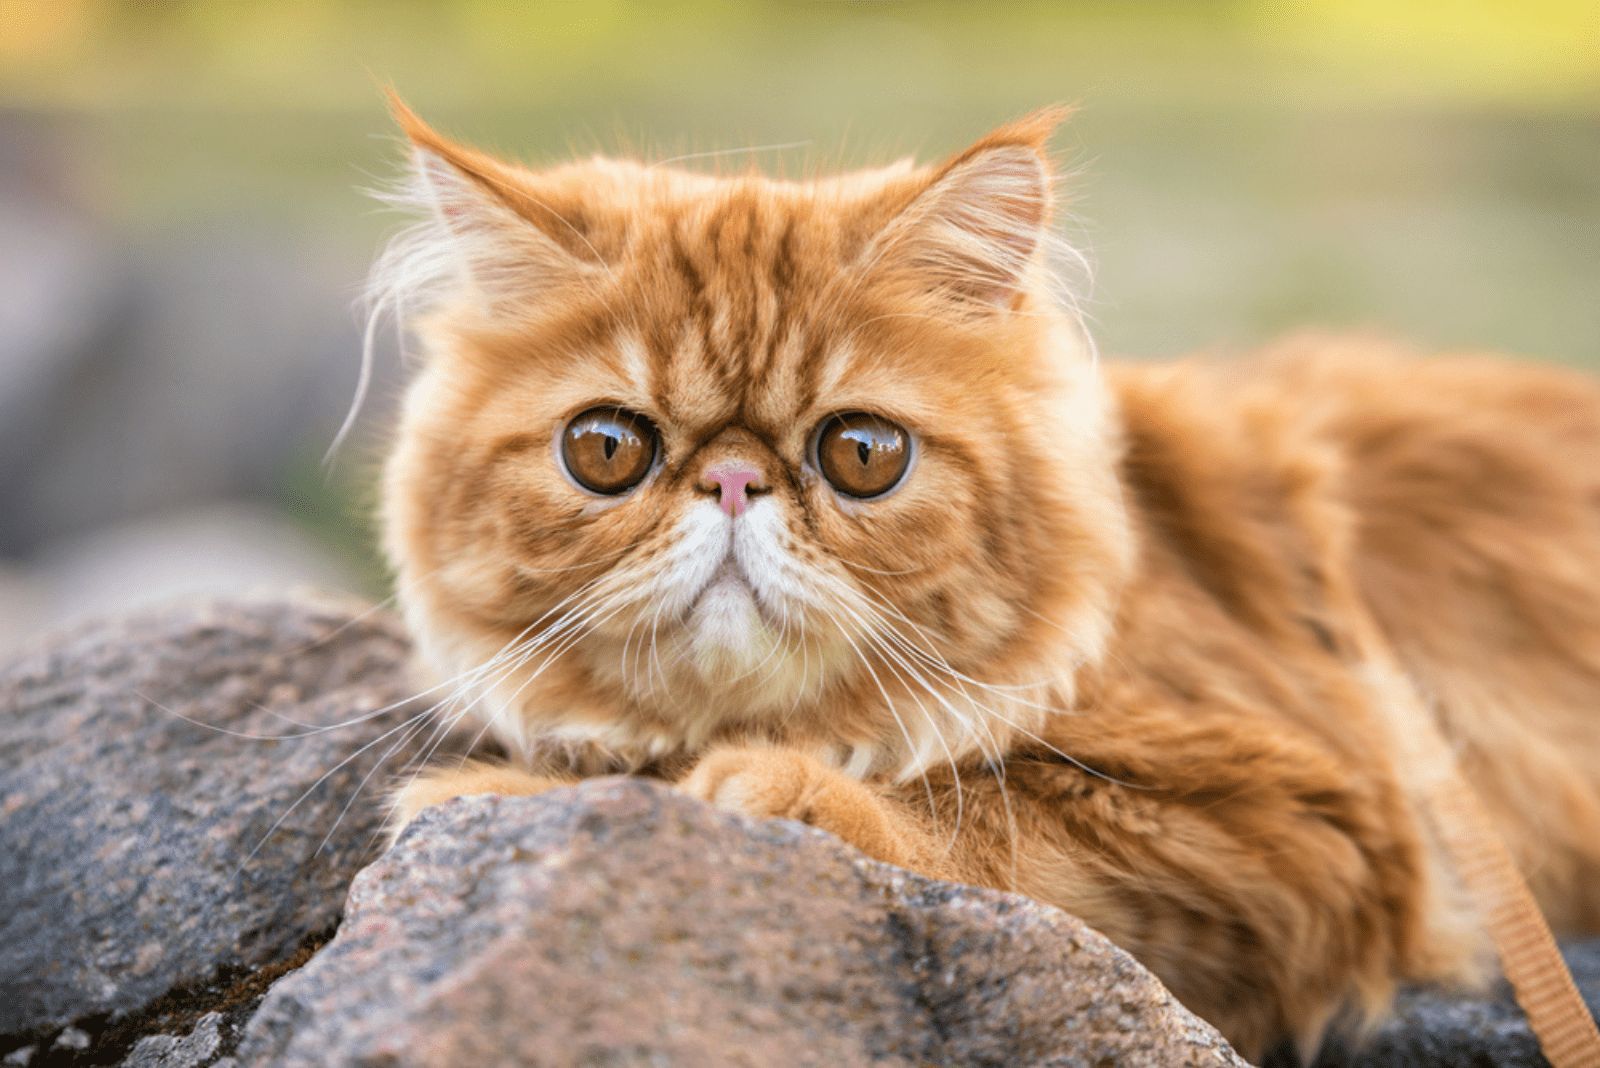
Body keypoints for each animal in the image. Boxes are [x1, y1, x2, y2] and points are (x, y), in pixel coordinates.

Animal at [368, 97, 1600, 1061]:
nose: (730, 480)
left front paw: (762, 786)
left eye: (862, 454)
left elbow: (980, 820)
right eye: (605, 450)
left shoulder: (1303, 825)